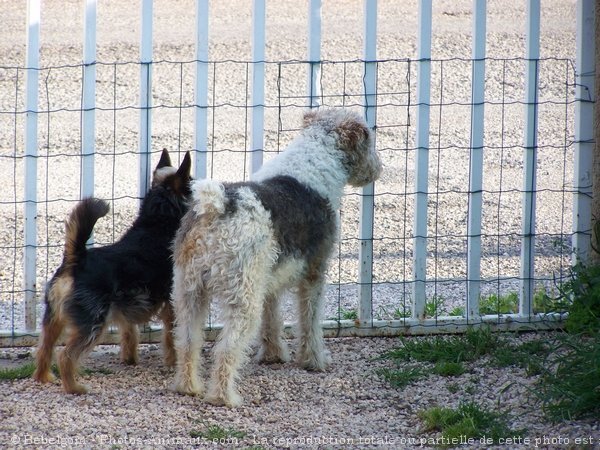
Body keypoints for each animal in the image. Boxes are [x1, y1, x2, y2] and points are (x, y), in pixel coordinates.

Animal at [33, 149, 192, 392]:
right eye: (192, 183)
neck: (157, 223)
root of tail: (76, 259)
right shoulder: (171, 303)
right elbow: (171, 336)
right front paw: (173, 363)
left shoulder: (127, 307)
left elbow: (129, 333)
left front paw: (130, 359)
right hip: (92, 323)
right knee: (65, 356)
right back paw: (74, 388)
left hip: (53, 319)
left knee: (44, 348)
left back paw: (43, 378)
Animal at [170, 107, 384, 406]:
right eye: (369, 139)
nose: (379, 169)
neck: (315, 160)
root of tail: (217, 206)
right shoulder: (314, 274)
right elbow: (310, 322)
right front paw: (315, 360)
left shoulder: (268, 282)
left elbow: (272, 321)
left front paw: (273, 355)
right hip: (242, 299)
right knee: (226, 348)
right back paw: (225, 397)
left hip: (189, 291)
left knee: (188, 341)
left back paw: (188, 386)